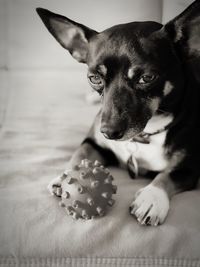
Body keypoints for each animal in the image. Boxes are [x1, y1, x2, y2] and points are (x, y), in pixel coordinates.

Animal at [36, 0, 200, 226]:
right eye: (94, 78)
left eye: (147, 77)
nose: (109, 132)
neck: (145, 135)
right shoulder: (93, 142)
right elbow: (80, 153)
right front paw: (65, 178)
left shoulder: (190, 169)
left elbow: (166, 176)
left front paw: (151, 198)